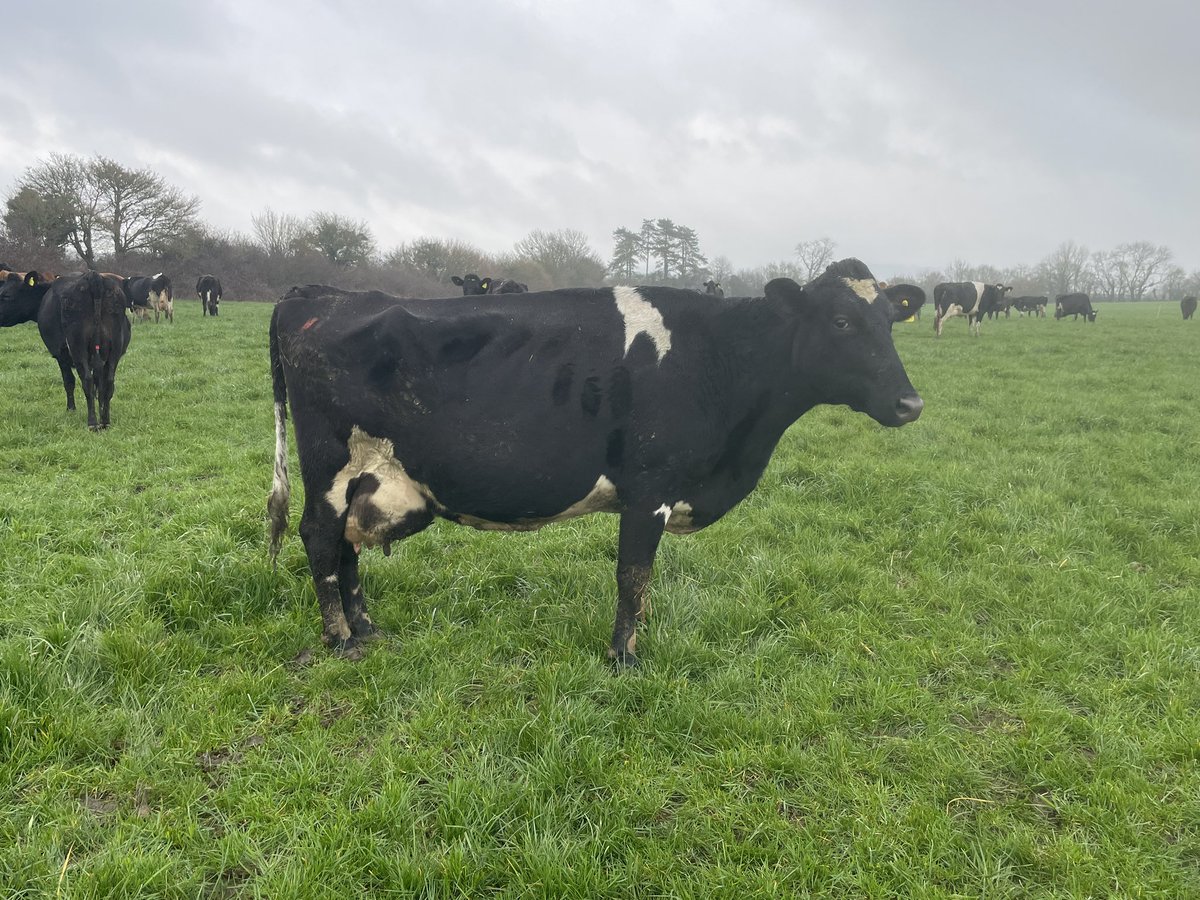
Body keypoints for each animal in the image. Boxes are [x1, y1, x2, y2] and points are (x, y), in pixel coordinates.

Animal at [0, 271, 130, 429]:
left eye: (6, 295)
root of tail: (94, 276)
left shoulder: (60, 353)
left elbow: (69, 381)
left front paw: (71, 409)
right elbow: (99, 385)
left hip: (77, 346)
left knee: (87, 381)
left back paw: (92, 422)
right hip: (115, 349)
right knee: (108, 383)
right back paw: (105, 422)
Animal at [267, 258, 923, 663]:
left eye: (892, 322)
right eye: (841, 321)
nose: (910, 403)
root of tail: (318, 295)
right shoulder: (651, 487)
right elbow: (633, 576)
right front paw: (623, 657)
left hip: (364, 477)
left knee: (346, 546)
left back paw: (366, 628)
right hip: (328, 466)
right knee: (319, 539)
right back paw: (340, 639)